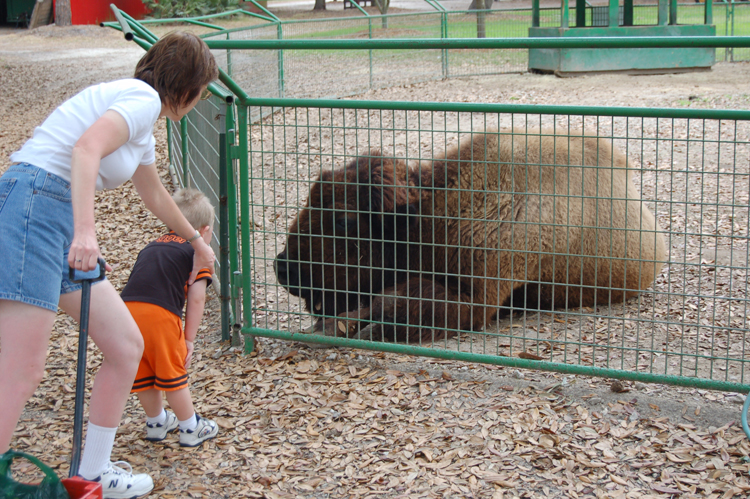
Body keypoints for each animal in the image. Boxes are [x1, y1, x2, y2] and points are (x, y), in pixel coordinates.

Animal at [276, 130, 668, 344]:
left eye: (344, 220)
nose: (283, 267)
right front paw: (333, 324)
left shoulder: (477, 301)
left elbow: (391, 302)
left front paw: (346, 326)